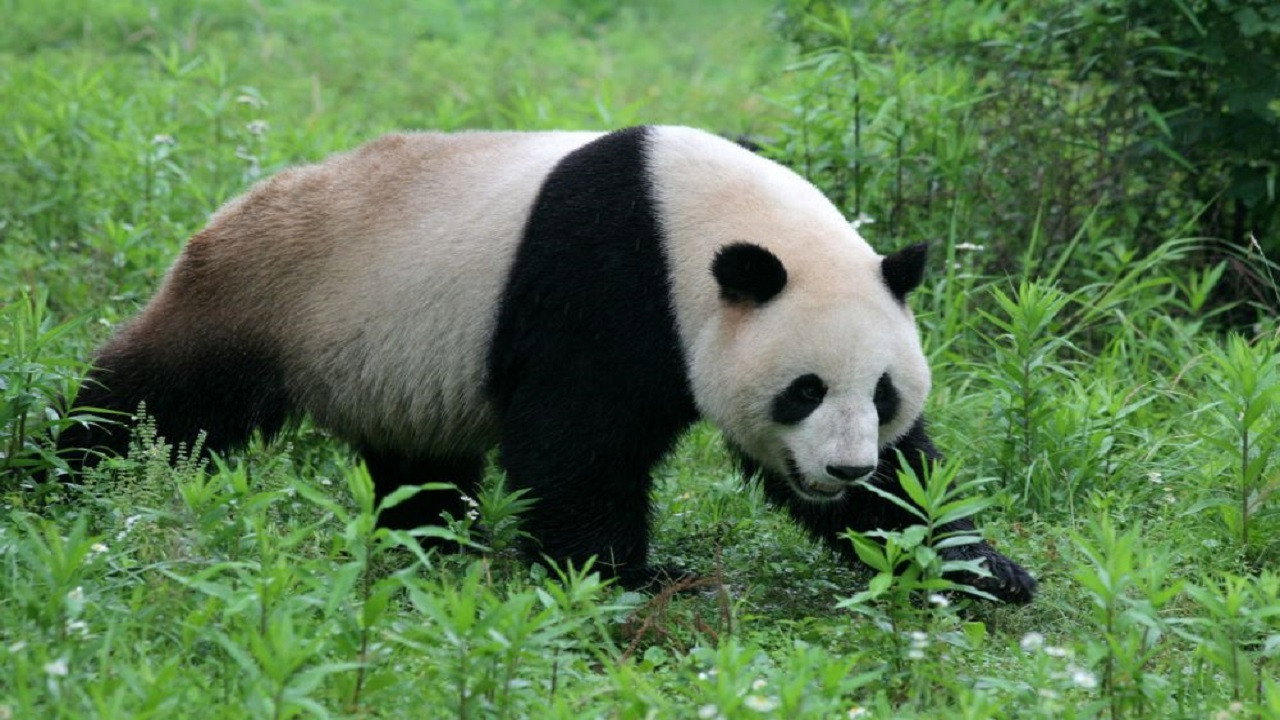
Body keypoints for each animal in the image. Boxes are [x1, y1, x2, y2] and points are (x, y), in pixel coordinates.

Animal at [59, 125, 1035, 603]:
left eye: (884, 393)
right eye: (803, 391)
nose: (841, 470)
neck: (695, 215)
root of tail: (220, 218)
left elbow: (910, 488)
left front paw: (980, 568)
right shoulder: (603, 280)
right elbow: (578, 445)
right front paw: (623, 578)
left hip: (391, 360)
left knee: (417, 461)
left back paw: (429, 541)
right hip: (264, 301)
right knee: (154, 403)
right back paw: (67, 482)